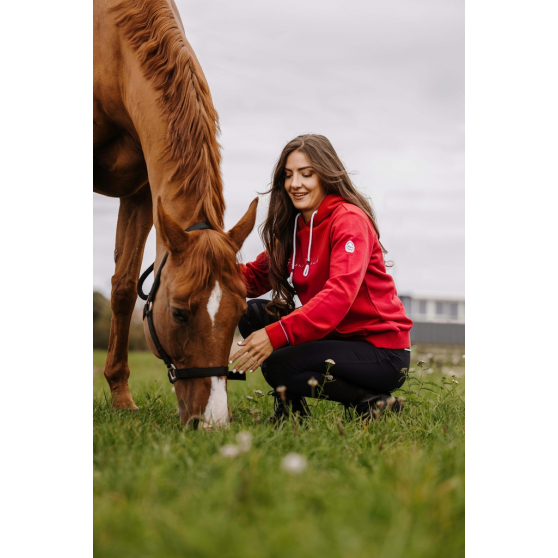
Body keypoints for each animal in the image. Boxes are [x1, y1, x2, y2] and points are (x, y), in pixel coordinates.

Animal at [94, 0, 258, 428]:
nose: (213, 422)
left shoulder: (141, 196)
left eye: (239, 313)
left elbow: (122, 288)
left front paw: (120, 397)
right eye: (179, 314)